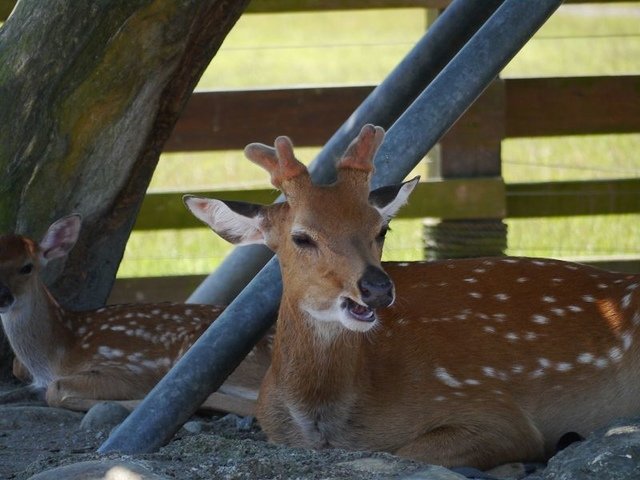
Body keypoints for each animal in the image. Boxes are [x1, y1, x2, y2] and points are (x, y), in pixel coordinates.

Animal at [0, 214, 268, 412]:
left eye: (27, 267)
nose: (4, 297)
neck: (56, 353)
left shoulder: (127, 369)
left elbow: (54, 391)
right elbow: (19, 369)